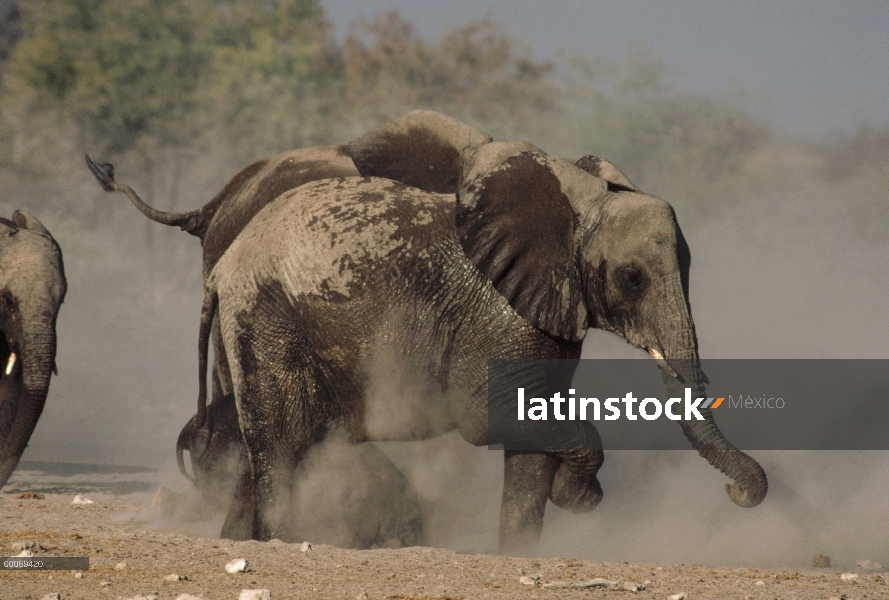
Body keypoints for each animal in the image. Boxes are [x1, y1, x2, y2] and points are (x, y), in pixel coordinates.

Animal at [198, 113, 768, 552]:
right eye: (633, 278)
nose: (737, 497)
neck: (572, 209)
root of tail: (222, 268)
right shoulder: (500, 317)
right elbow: (489, 415)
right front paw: (579, 495)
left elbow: (532, 430)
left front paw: (521, 552)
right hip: (267, 318)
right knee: (281, 447)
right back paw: (285, 540)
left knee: (260, 453)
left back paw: (238, 541)